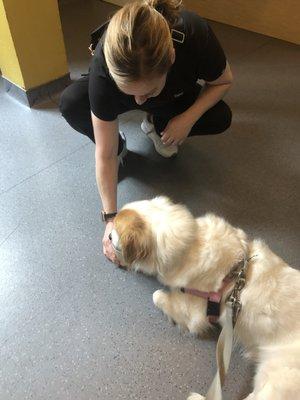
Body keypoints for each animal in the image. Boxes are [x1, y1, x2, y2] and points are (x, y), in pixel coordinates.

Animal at [111, 195, 300, 398]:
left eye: (114, 230)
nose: (108, 233)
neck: (192, 243)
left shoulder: (194, 314)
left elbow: (157, 296)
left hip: (276, 380)